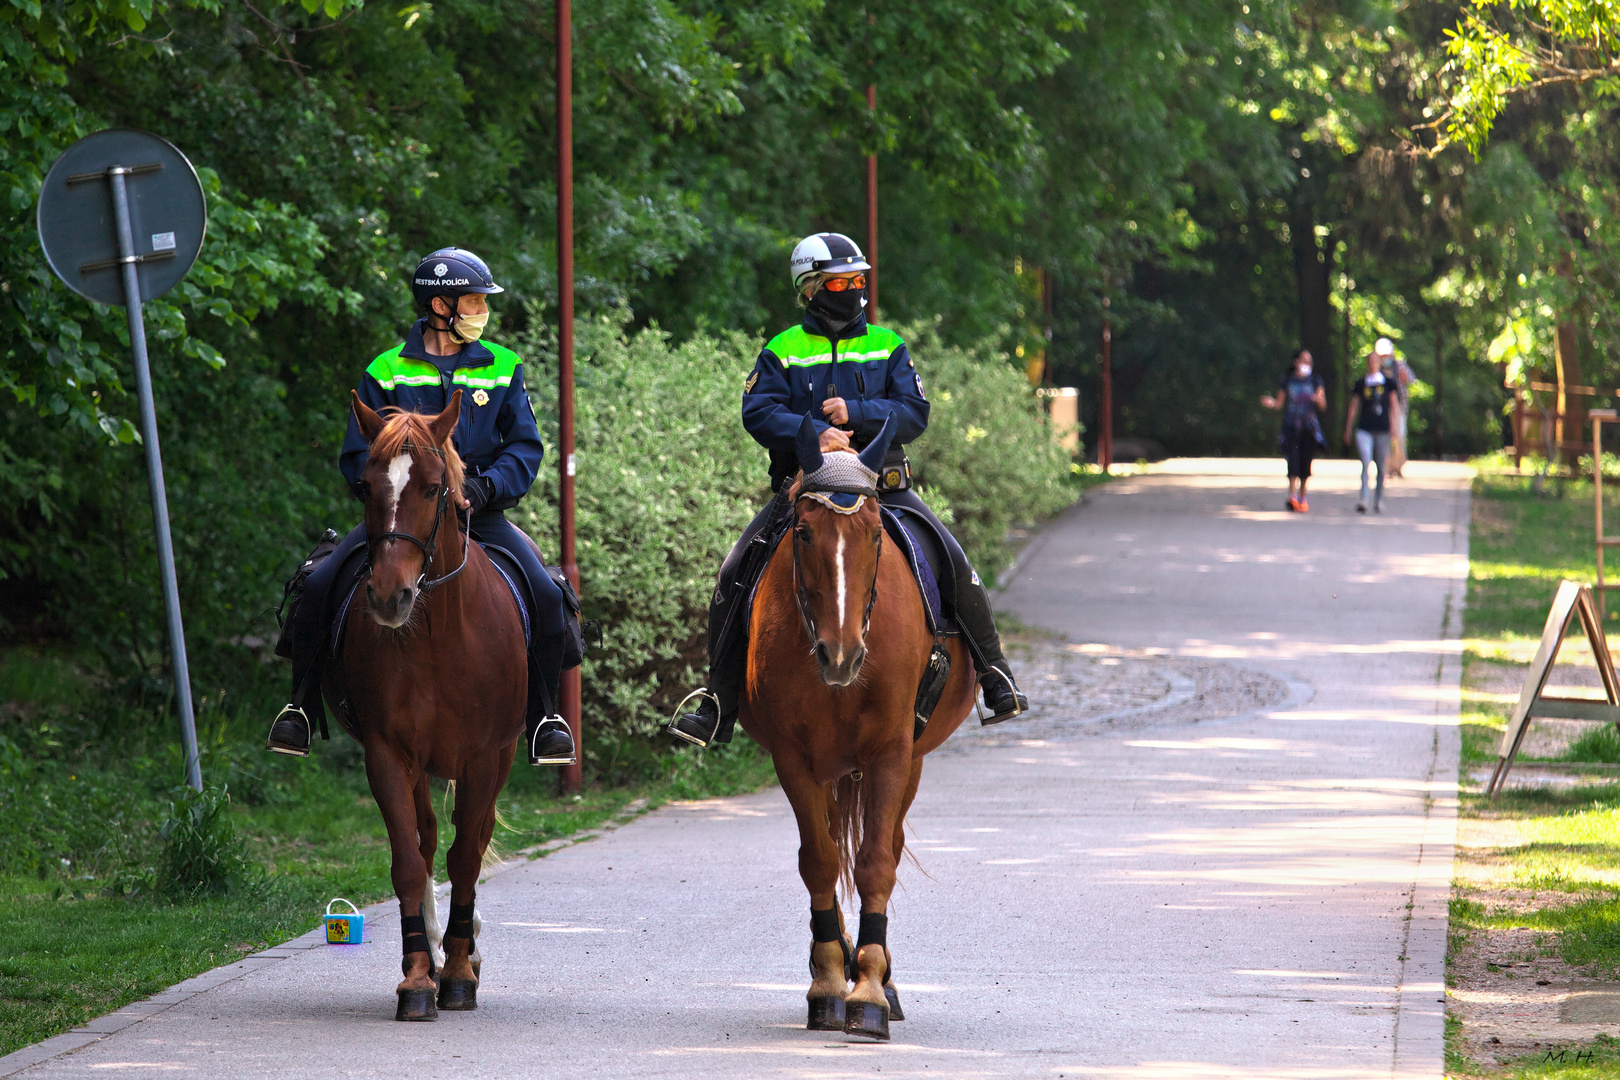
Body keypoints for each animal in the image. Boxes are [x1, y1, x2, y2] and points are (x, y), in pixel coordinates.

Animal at [327, 388, 524, 1023]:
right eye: (365, 485)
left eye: (436, 488)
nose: (390, 596)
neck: (437, 636)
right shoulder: (389, 755)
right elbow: (410, 863)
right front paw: (419, 976)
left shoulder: (485, 756)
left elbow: (467, 857)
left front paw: (460, 972)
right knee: (431, 836)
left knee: (472, 836)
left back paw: (466, 949)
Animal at [741, 417, 972, 1042]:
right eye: (802, 532)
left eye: (873, 536)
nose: (841, 656)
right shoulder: (793, 758)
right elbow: (819, 860)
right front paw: (827, 980)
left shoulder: (891, 754)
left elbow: (874, 862)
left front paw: (868, 990)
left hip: (909, 762)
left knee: (887, 844)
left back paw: (883, 980)